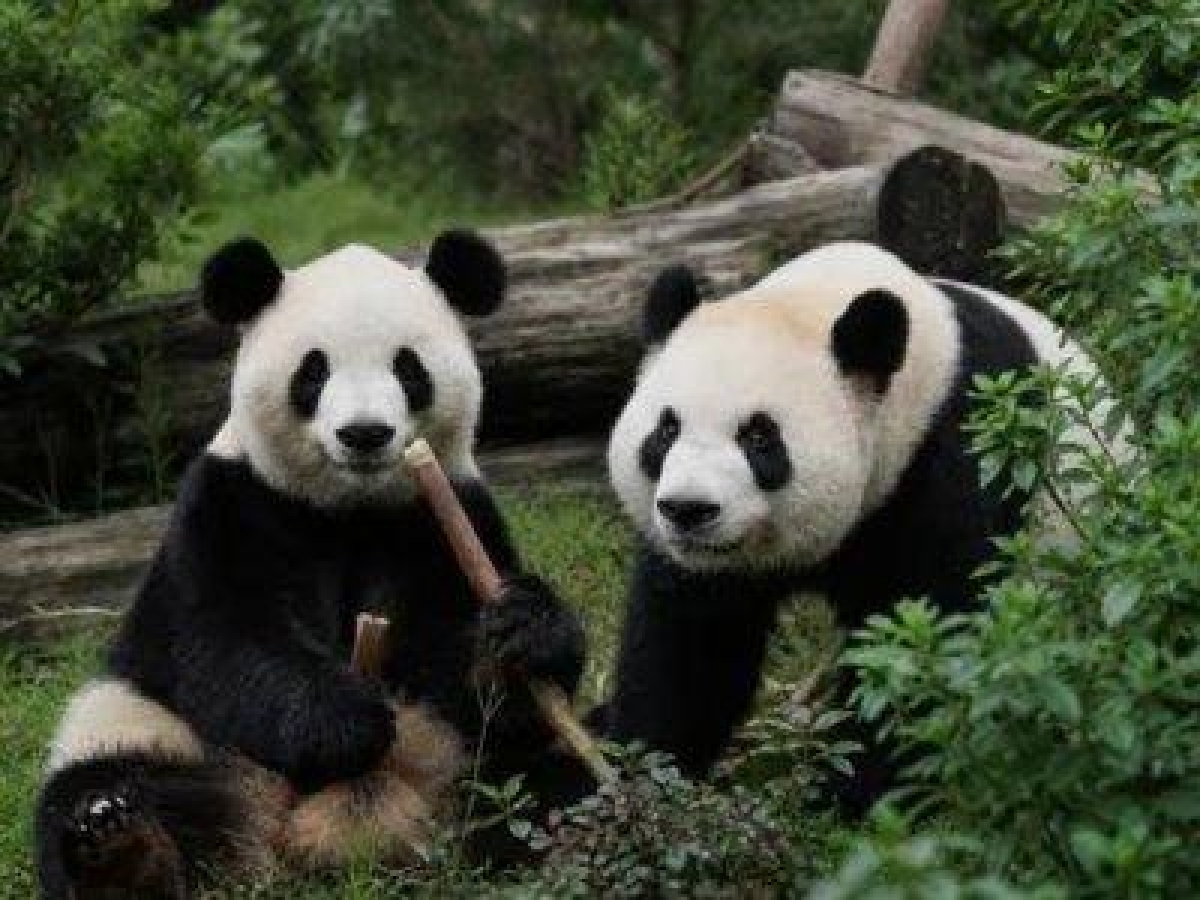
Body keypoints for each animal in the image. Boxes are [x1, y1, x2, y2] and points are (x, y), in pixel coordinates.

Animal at [35, 231, 588, 898]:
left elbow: (475, 683)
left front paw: (524, 629)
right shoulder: (230, 506)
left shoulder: (443, 519)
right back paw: (123, 849)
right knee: (106, 787)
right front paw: (349, 720)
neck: (348, 512)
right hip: (145, 724)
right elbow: (225, 641)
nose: (364, 433)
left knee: (540, 779)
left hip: (467, 770)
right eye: (314, 370)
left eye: (408, 368)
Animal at [602, 240, 1120, 813]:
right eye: (666, 430)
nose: (689, 509)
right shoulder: (702, 569)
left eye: (760, 438)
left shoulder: (955, 456)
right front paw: (642, 771)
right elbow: (694, 644)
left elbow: (920, 632)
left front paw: (851, 797)